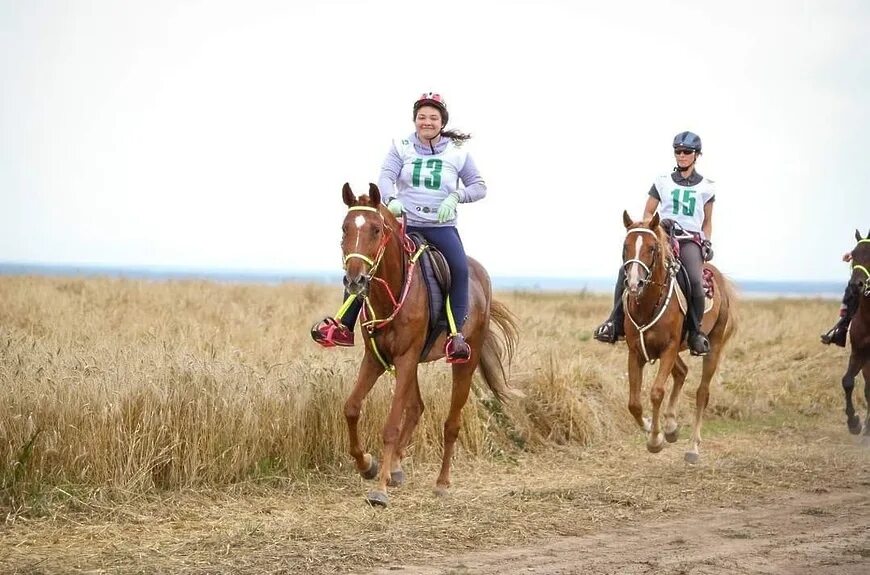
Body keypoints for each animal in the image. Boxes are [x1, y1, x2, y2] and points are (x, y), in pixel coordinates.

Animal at [338, 184, 520, 508]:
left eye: (375, 229)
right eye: (345, 228)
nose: (354, 280)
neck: (393, 292)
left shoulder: (405, 357)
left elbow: (391, 426)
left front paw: (379, 489)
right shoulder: (376, 359)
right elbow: (351, 408)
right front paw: (368, 465)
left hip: (463, 363)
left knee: (451, 423)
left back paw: (441, 482)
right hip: (410, 365)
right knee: (416, 408)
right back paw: (396, 468)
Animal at [620, 212, 736, 464]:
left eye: (652, 248)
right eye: (625, 247)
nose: (634, 283)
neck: (647, 305)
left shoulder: (669, 349)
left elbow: (656, 392)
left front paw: (655, 441)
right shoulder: (636, 352)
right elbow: (633, 403)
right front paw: (651, 427)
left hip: (713, 345)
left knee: (702, 393)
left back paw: (692, 447)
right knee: (682, 372)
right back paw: (672, 426)